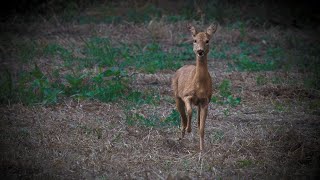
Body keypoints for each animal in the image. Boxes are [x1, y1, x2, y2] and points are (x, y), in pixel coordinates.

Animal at [170, 23, 218, 151]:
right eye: (194, 40)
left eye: (207, 41)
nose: (200, 51)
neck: (199, 86)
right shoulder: (186, 95)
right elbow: (189, 111)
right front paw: (188, 129)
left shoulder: (205, 101)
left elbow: (201, 128)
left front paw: (202, 149)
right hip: (176, 96)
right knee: (183, 118)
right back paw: (181, 137)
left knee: (196, 121)